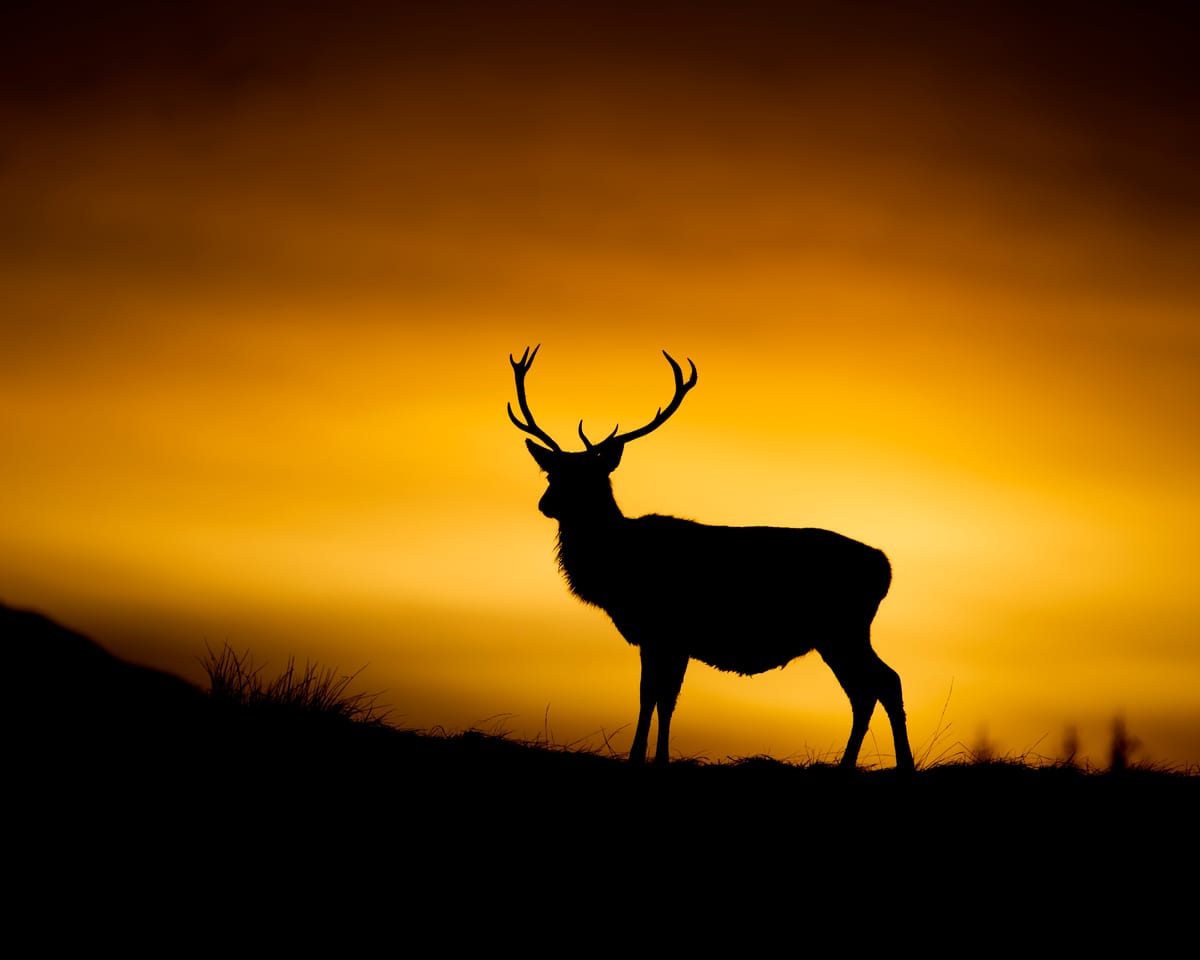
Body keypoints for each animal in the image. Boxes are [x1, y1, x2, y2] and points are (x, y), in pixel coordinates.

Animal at [509, 345, 915, 771]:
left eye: (589, 477)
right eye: (551, 474)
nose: (545, 504)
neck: (617, 567)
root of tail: (885, 567)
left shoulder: (665, 629)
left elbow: (655, 696)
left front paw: (646, 758)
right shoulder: (666, 637)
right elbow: (659, 697)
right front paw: (653, 757)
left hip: (844, 628)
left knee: (883, 682)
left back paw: (899, 763)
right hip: (839, 634)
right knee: (870, 688)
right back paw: (855, 764)